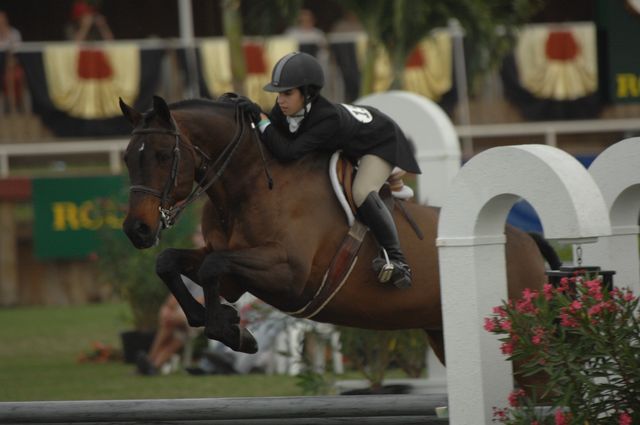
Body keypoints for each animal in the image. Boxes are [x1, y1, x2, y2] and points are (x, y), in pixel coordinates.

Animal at [119, 95, 559, 368]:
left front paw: (232, 331)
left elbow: (210, 269)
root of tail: (524, 239)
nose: (137, 230)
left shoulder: (288, 274)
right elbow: (169, 262)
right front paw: (222, 323)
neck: (250, 185)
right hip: (443, 334)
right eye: (126, 157)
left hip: (520, 341)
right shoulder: (231, 271)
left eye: (163, 155)